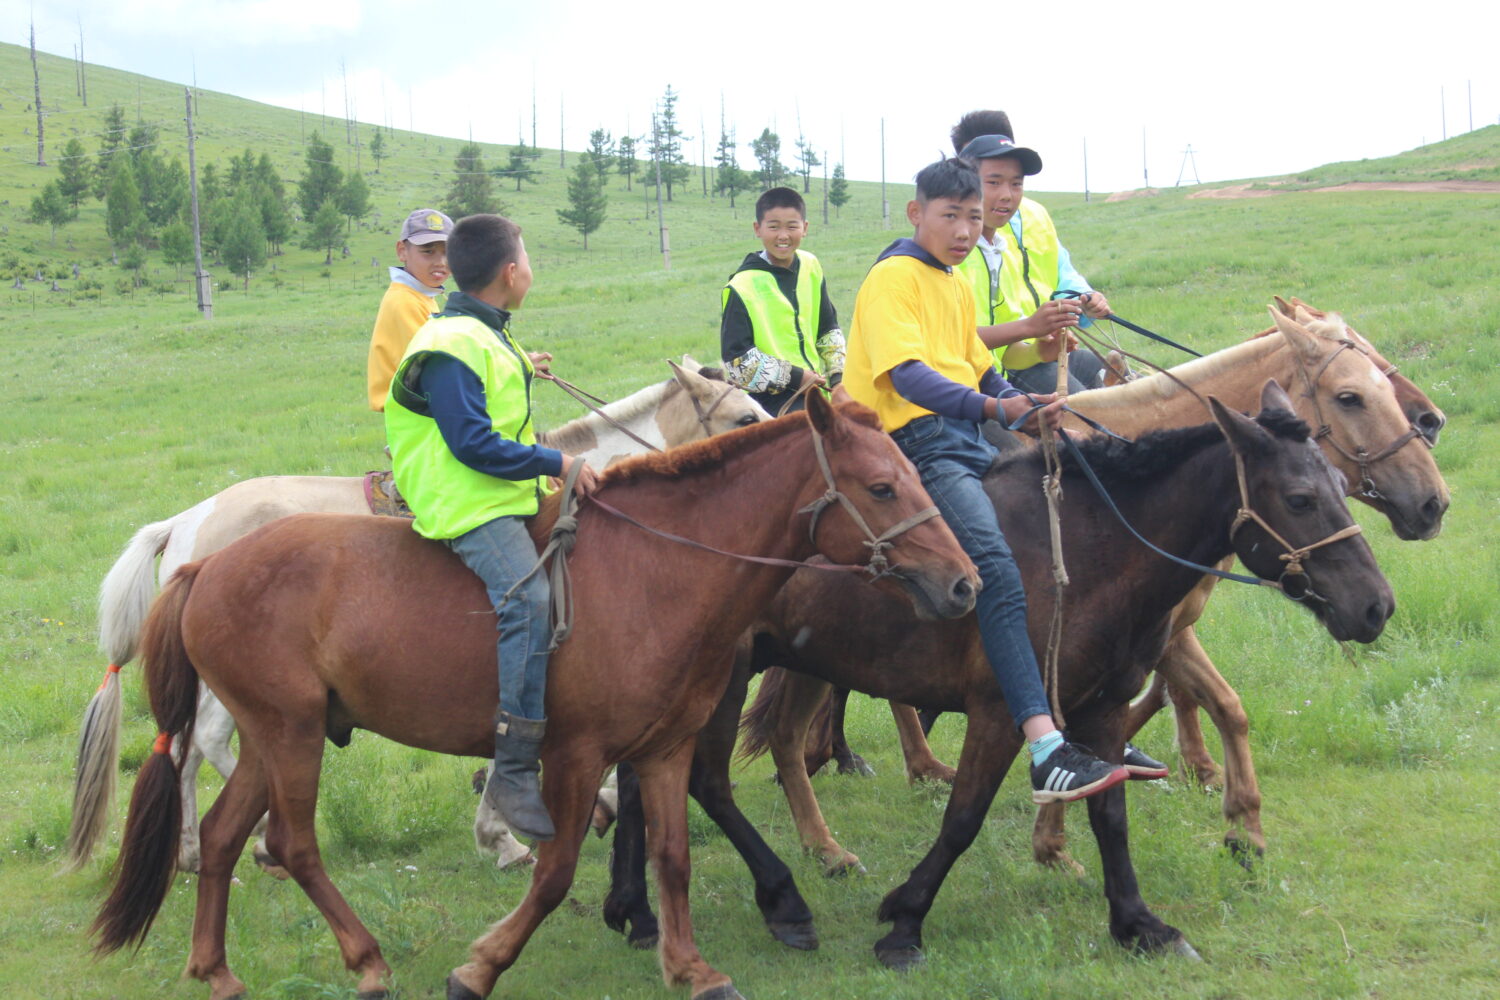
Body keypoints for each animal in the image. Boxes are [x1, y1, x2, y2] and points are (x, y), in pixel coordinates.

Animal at [64, 359, 768, 875]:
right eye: (742, 415)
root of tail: (185, 521)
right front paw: (510, 835)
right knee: (208, 742)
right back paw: (262, 837)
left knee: (183, 750)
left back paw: (190, 851)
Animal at [96, 395, 984, 1000]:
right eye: (882, 487)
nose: (963, 584)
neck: (657, 568)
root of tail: (201, 560)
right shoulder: (575, 754)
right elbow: (555, 873)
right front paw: (482, 965)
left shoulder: (662, 748)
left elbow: (672, 857)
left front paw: (691, 966)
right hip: (290, 736)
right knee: (291, 842)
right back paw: (367, 960)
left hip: (274, 734)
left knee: (221, 835)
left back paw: (216, 969)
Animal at [600, 383, 1392, 971]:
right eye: (1299, 499)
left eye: (1339, 487)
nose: (1376, 606)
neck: (1089, 547)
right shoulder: (999, 711)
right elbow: (964, 818)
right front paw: (905, 922)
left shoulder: (1103, 709)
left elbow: (1110, 815)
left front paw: (1138, 923)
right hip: (726, 675)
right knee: (705, 781)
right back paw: (775, 901)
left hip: (783, 667)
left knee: (673, 774)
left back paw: (641, 909)